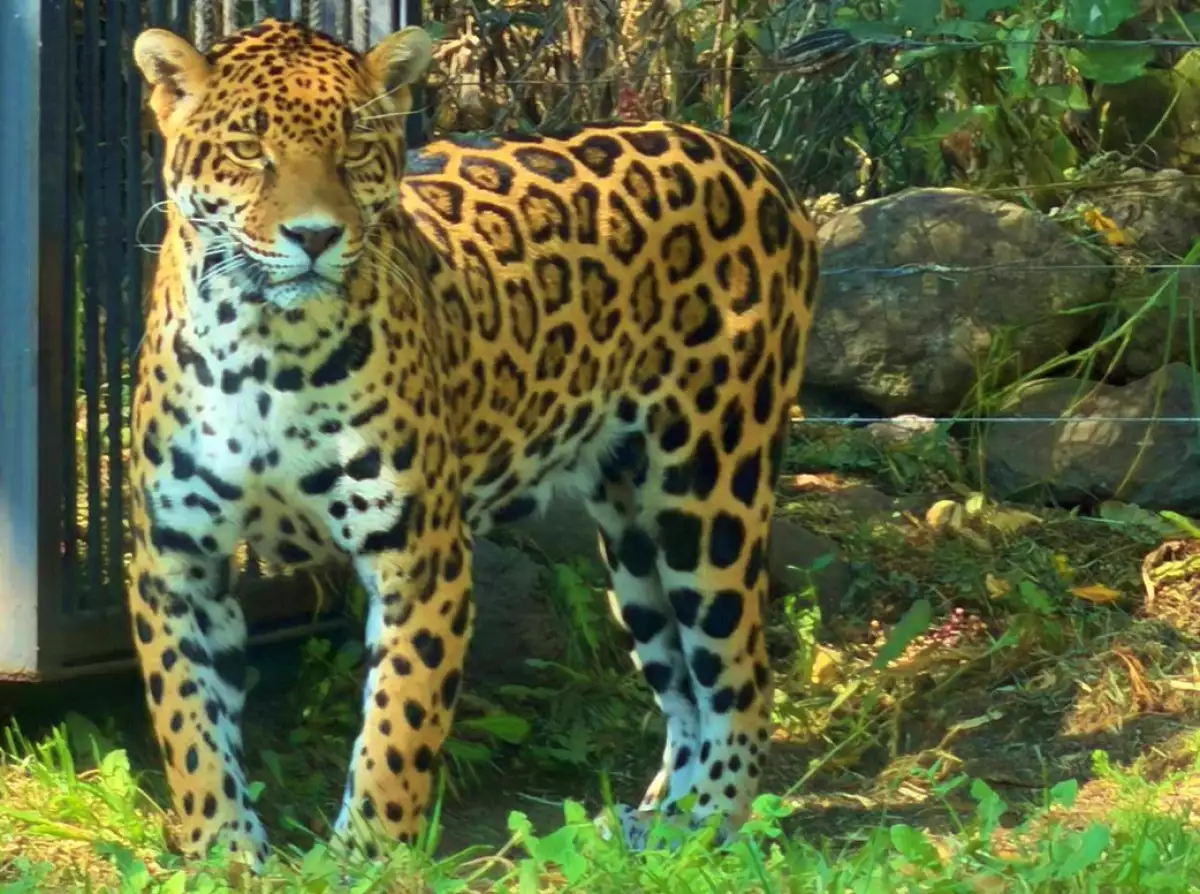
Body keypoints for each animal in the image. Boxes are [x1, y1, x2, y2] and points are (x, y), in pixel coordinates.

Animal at [128, 16, 818, 872]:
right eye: (248, 148)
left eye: (356, 147)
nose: (315, 236)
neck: (264, 345)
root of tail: (751, 159)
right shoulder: (174, 562)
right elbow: (191, 726)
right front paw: (223, 853)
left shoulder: (422, 558)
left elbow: (397, 727)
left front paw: (368, 860)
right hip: (630, 533)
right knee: (683, 683)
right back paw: (655, 828)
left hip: (709, 490)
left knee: (741, 674)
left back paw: (711, 827)